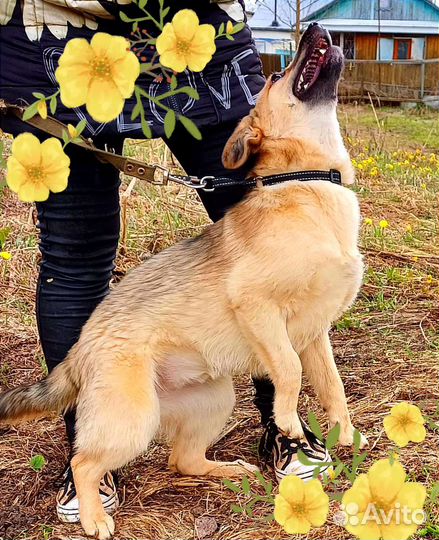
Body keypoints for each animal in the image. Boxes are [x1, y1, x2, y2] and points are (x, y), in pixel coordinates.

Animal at [0, 22, 368, 540]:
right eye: (277, 78)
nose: (315, 28)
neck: (306, 182)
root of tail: (80, 348)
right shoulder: (257, 307)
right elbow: (289, 372)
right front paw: (288, 419)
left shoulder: (314, 334)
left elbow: (333, 388)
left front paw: (343, 433)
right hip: (133, 419)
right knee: (84, 462)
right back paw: (92, 515)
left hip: (215, 397)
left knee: (183, 460)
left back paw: (226, 470)